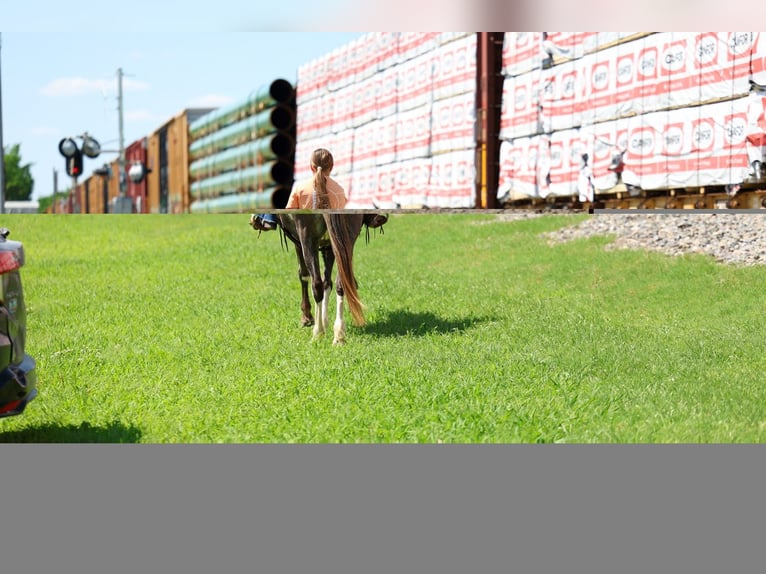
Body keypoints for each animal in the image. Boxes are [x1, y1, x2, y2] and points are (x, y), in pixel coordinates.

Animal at [275, 212, 386, 345]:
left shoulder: (300, 243)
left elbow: (304, 275)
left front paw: (307, 318)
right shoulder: (330, 245)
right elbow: (327, 282)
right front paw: (325, 320)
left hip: (307, 237)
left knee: (316, 284)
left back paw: (318, 332)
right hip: (346, 239)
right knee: (340, 283)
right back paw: (339, 334)